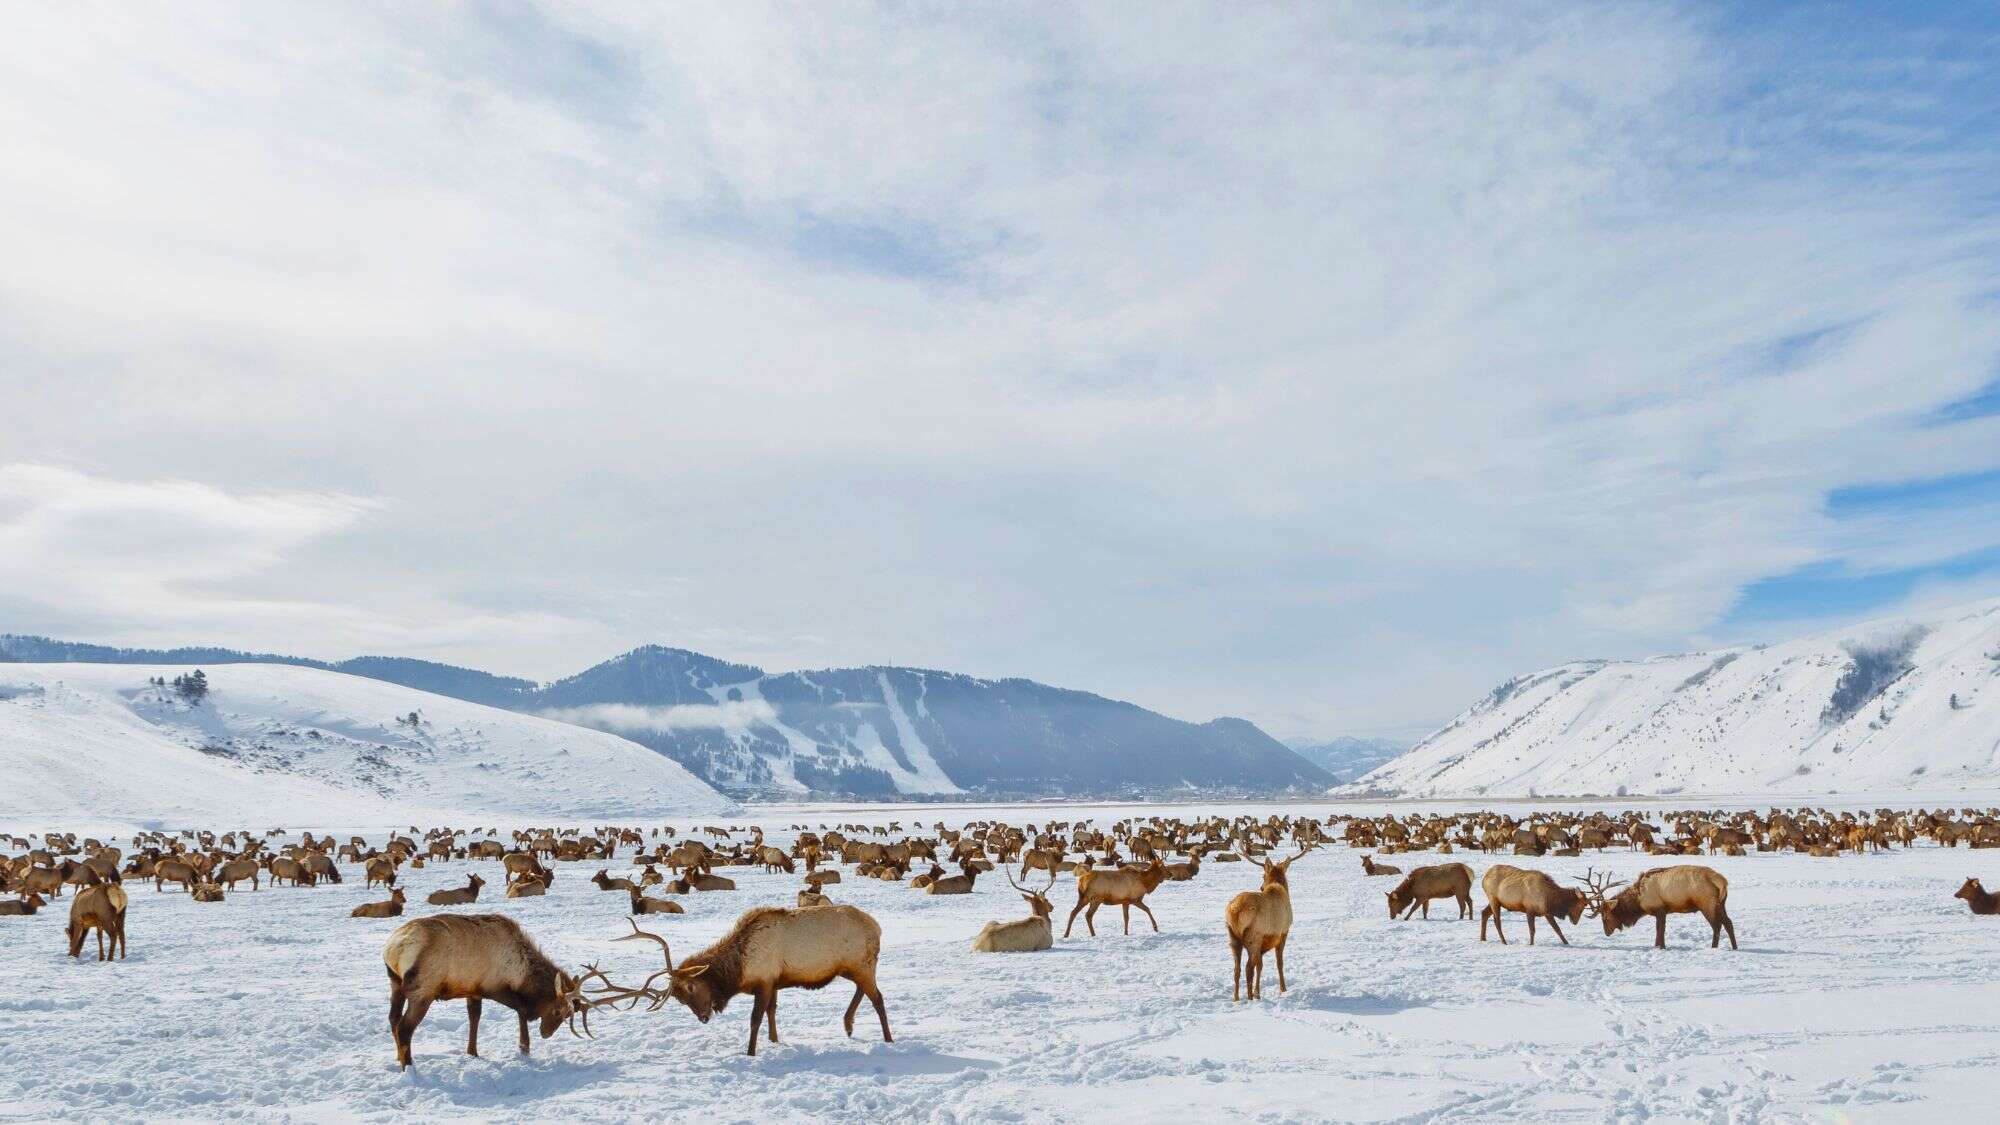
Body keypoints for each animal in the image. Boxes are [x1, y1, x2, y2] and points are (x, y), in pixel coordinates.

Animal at [381, 914, 592, 1069]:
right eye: (558, 1011)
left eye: (568, 1014)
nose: (546, 1033)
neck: (520, 971)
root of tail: (393, 948)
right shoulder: (494, 987)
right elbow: (521, 1010)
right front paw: (524, 1048)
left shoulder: (473, 989)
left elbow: (474, 1017)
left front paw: (473, 1052)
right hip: (423, 989)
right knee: (404, 1027)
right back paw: (409, 1067)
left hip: (395, 982)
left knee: (393, 1018)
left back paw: (398, 1058)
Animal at [582, 909, 892, 1057]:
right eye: (679, 997)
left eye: (691, 987)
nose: (704, 1017)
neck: (738, 969)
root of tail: (877, 927)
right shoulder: (774, 982)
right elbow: (772, 1011)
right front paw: (774, 1040)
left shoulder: (764, 981)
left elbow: (755, 1018)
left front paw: (751, 1052)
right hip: (853, 967)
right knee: (863, 991)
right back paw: (848, 1024)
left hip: (862, 963)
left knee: (878, 998)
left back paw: (887, 1038)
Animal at [1226, 845, 1308, 1000]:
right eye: (1263, 875)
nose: (1261, 887)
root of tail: (1235, 911)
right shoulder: (1283, 932)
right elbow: (1279, 963)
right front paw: (1283, 989)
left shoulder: (1264, 943)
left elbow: (1260, 965)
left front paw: (1258, 993)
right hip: (1253, 936)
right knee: (1248, 968)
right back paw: (1249, 998)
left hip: (1233, 937)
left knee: (1236, 969)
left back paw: (1236, 998)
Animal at [1581, 866, 1736, 949]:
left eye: (1606, 917)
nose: (1606, 933)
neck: (1639, 901)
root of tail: (1722, 881)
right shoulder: (1663, 911)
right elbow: (1661, 930)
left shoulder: (1659, 909)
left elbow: (1659, 930)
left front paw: (1660, 946)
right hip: (1721, 904)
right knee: (1728, 922)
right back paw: (1735, 947)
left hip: (1706, 903)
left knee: (1717, 925)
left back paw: (1713, 947)